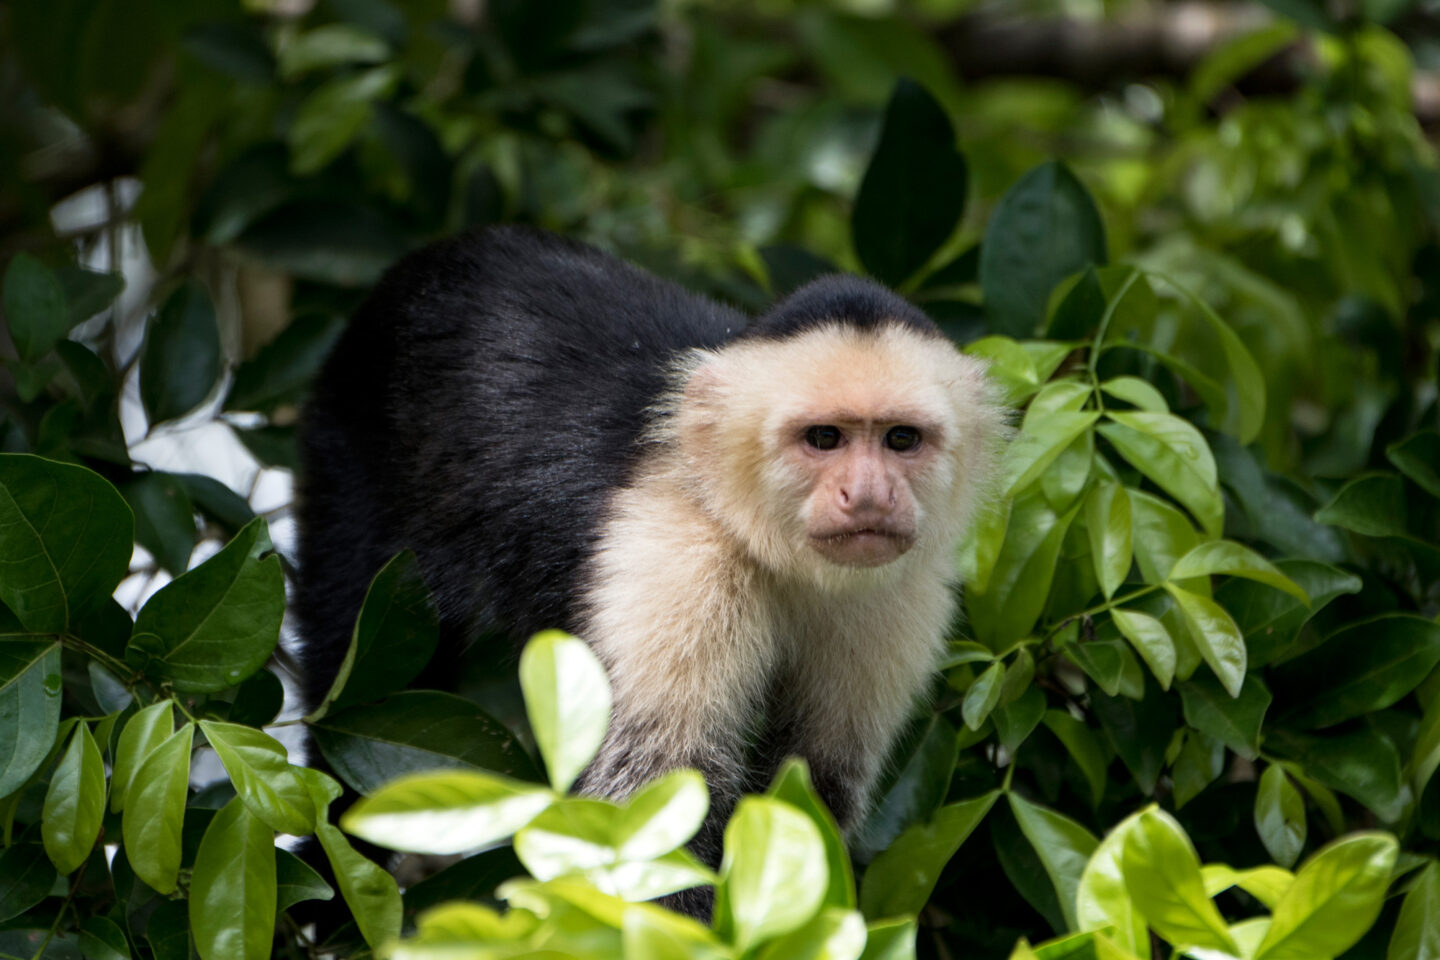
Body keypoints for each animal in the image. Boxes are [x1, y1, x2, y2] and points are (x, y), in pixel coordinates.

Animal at [295, 225, 1002, 915]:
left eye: (901, 439)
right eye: (824, 438)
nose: (870, 496)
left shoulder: (899, 592)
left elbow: (818, 782)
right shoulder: (674, 558)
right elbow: (657, 797)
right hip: (348, 440)